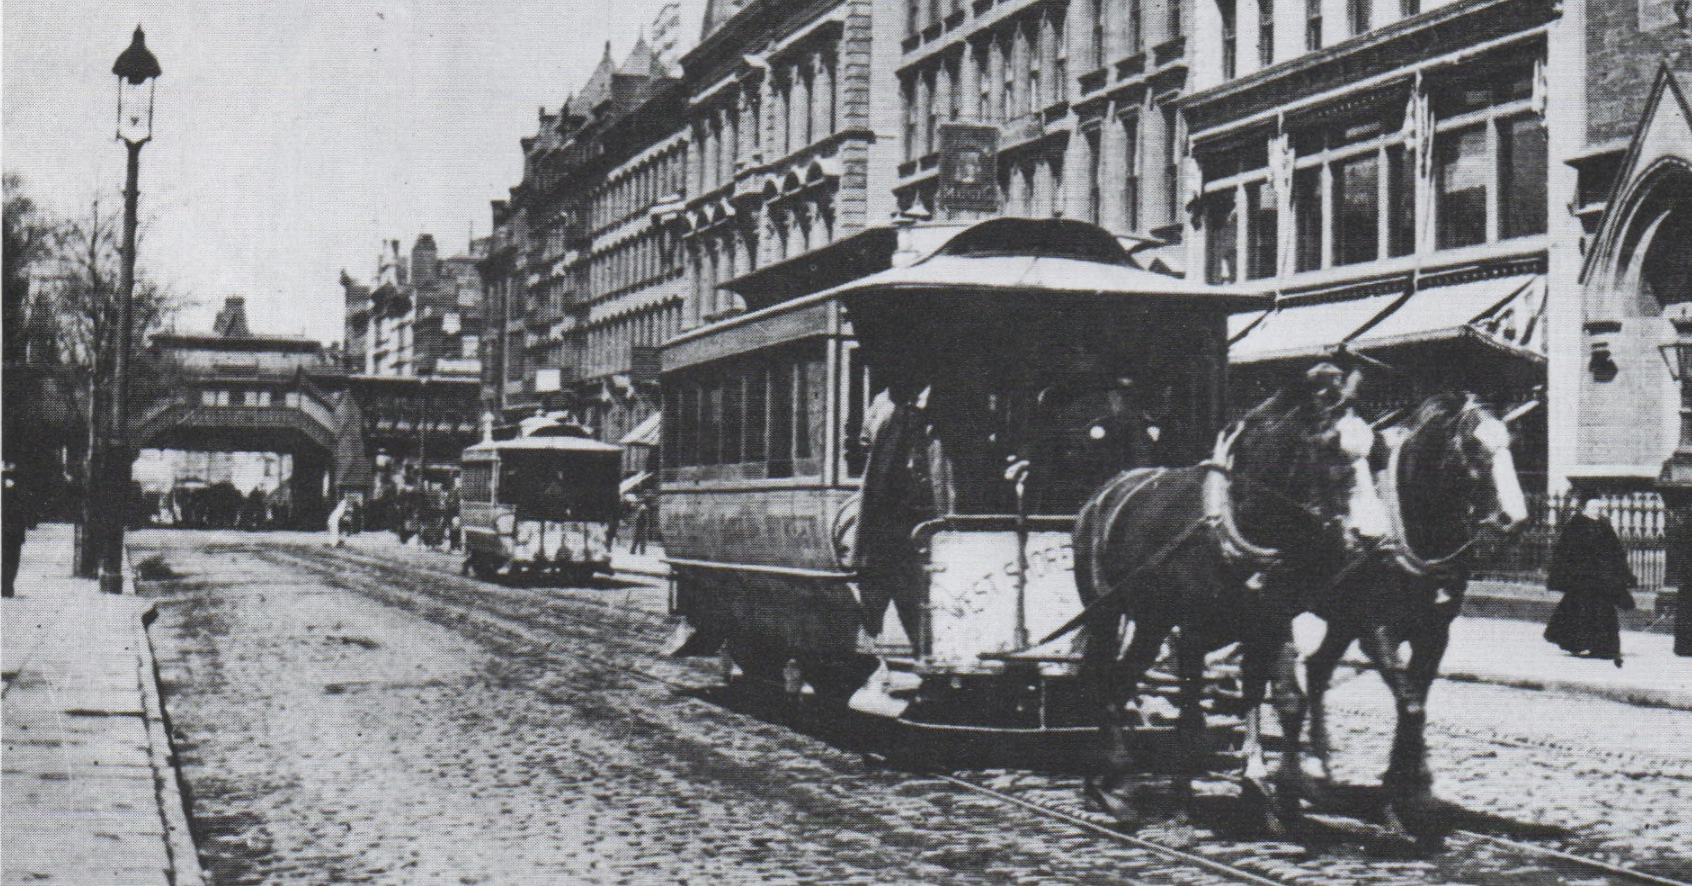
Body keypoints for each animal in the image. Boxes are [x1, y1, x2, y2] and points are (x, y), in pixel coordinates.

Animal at [1069, 363, 1387, 828]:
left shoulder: (1269, 623)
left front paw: (1272, 790)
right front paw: (1184, 797)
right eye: (1330, 446)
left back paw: (1109, 778)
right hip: (1107, 609)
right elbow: (1192, 714)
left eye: (1375, 450)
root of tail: (1100, 497)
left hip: (1151, 620)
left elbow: (1280, 699)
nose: (1373, 534)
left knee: (1124, 674)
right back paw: (1115, 778)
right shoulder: (1193, 633)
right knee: (1101, 673)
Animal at [1292, 393, 1536, 838]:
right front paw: (1399, 796)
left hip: (1341, 620)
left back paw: (1319, 769)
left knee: (1317, 669)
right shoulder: (1377, 632)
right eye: (1473, 446)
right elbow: (1410, 705)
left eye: (1513, 442)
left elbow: (1417, 702)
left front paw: (1411, 791)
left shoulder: (1434, 633)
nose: (1515, 519)